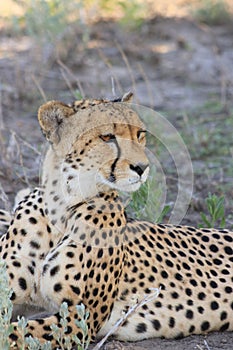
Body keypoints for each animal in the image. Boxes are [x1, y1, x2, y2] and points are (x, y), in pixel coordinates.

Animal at [0, 92, 232, 348]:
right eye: (107, 137)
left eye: (139, 134)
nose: (142, 167)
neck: (61, 208)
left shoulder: (80, 317)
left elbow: (14, 332)